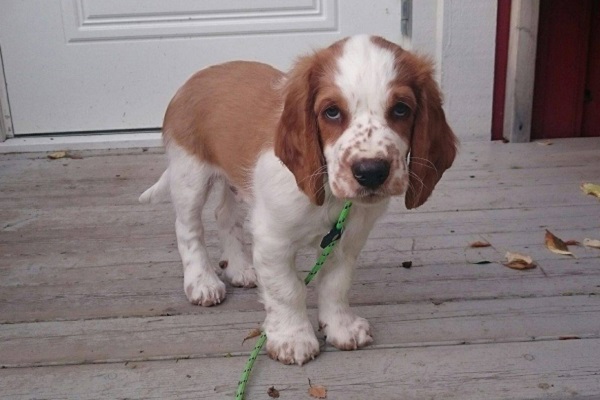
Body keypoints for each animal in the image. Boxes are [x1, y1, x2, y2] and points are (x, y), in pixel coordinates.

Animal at [142, 35, 460, 366]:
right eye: (331, 112)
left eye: (400, 109)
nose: (371, 172)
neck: (329, 194)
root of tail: (191, 82)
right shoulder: (273, 240)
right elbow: (287, 290)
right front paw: (292, 339)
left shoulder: (344, 241)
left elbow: (336, 285)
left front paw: (341, 327)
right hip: (190, 174)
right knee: (188, 228)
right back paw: (202, 283)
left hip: (236, 180)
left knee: (224, 216)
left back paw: (240, 269)